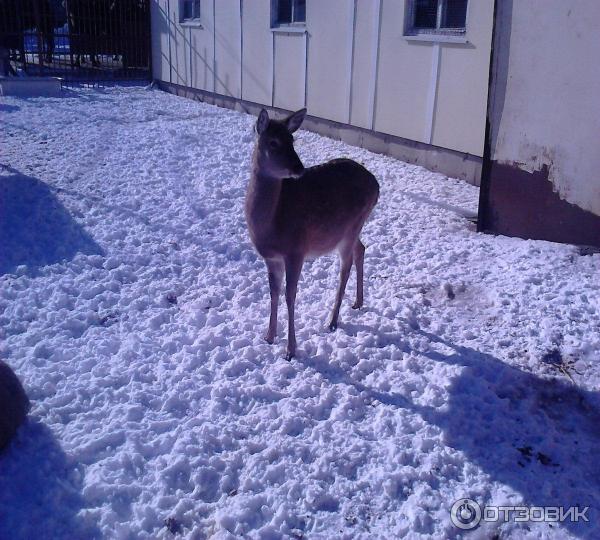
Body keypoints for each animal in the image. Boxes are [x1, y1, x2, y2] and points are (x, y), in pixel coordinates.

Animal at [245, 106, 380, 360]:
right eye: (273, 142)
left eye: (293, 140)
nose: (299, 168)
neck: (272, 224)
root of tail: (377, 185)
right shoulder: (271, 258)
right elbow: (273, 292)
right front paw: (269, 337)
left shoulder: (296, 251)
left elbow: (290, 295)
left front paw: (290, 350)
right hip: (350, 229)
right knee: (362, 248)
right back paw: (358, 302)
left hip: (352, 226)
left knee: (345, 267)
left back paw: (333, 321)